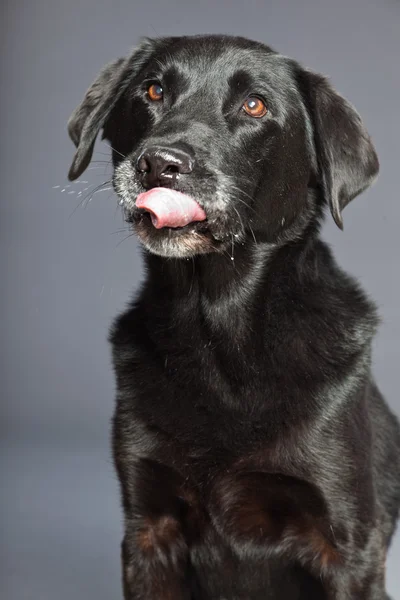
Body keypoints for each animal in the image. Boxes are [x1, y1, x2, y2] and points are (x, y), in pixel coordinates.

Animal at [67, 35, 400, 596]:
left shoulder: (347, 546)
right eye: (152, 90)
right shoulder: (148, 530)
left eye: (254, 105)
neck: (217, 332)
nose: (159, 163)